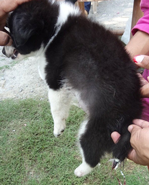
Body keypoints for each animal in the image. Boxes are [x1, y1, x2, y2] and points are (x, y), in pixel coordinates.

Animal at [2, 0, 142, 177]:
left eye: (11, 33)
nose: (2, 51)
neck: (54, 29)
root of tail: (132, 113)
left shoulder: (55, 81)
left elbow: (55, 108)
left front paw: (58, 128)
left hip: (97, 126)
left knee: (91, 152)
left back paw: (79, 171)